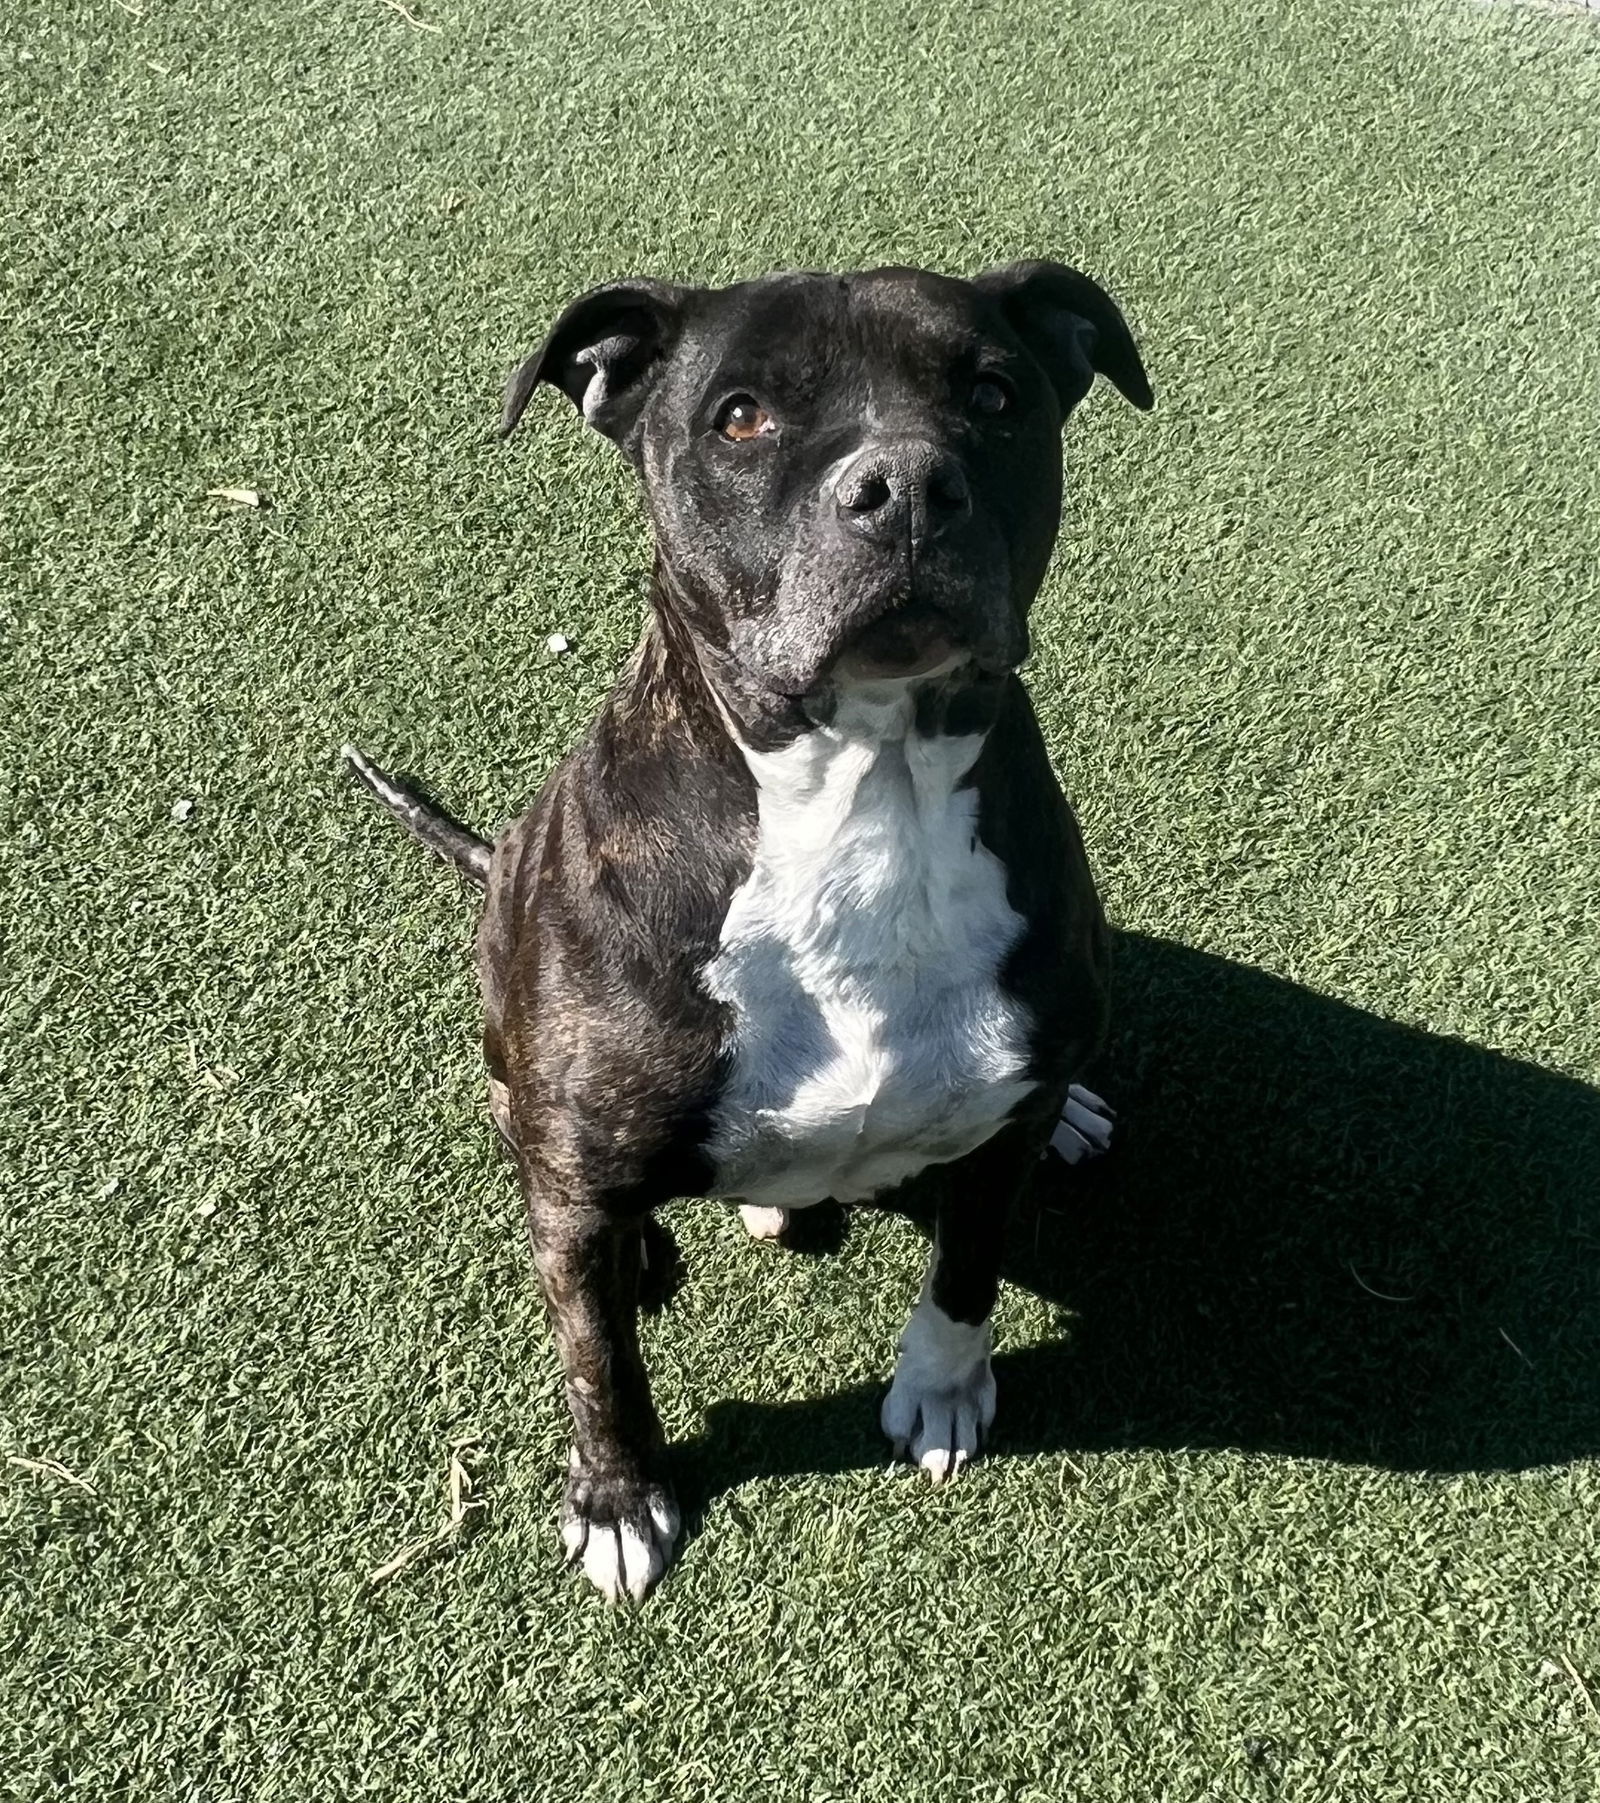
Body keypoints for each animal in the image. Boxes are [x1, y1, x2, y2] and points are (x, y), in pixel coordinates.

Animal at [348, 257, 1154, 1608]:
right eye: (741, 419)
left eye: (993, 394)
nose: (903, 486)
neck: (862, 801)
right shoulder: (579, 1192)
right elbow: (599, 1363)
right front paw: (621, 1499)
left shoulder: (996, 1140)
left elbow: (967, 1269)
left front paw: (942, 1393)